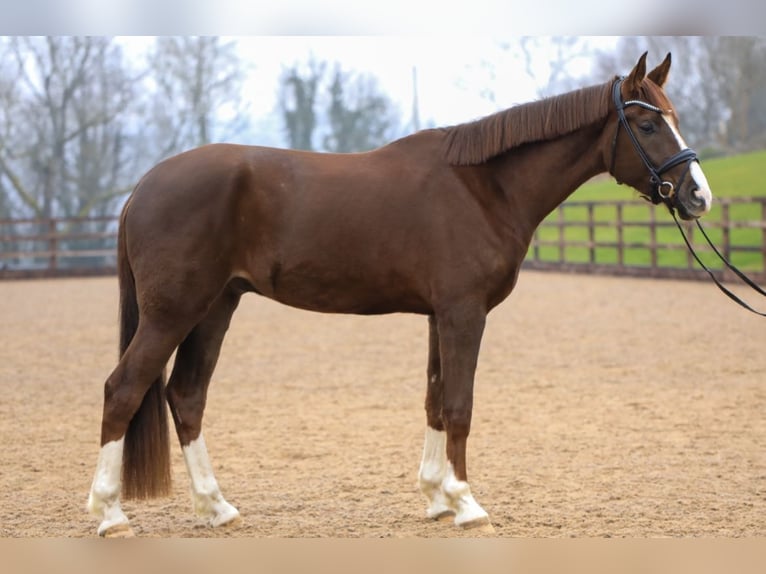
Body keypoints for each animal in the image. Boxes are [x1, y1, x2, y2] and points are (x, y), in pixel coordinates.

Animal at [88, 54, 712, 540]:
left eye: (675, 119)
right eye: (647, 124)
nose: (697, 196)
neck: (483, 187)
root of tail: (142, 188)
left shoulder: (439, 315)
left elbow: (435, 400)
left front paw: (437, 497)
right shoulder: (463, 314)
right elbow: (459, 405)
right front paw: (467, 503)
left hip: (215, 307)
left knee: (186, 396)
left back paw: (217, 508)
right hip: (173, 313)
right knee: (124, 390)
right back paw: (111, 515)